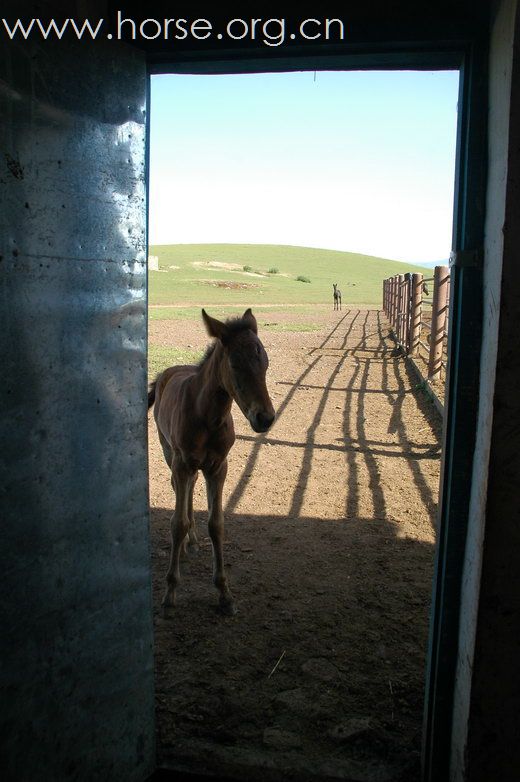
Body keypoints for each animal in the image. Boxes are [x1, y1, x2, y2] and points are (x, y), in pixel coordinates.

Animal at [148, 308, 274, 620]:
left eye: (265, 361)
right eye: (234, 363)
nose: (265, 418)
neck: (207, 416)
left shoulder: (218, 467)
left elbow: (216, 524)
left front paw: (225, 594)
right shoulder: (182, 463)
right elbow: (177, 522)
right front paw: (170, 593)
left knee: (192, 487)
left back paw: (192, 542)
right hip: (169, 452)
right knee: (178, 488)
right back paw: (185, 544)